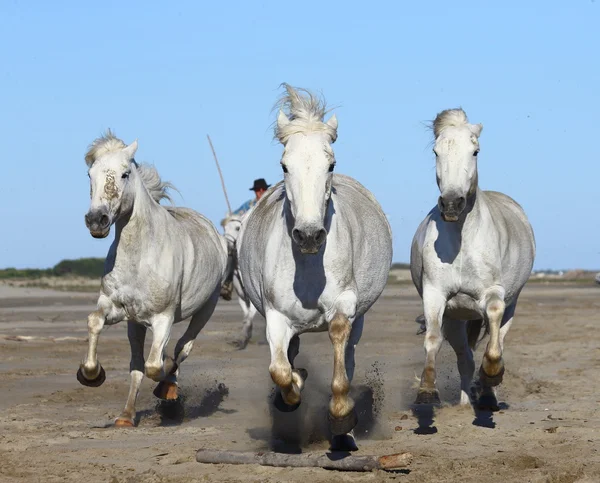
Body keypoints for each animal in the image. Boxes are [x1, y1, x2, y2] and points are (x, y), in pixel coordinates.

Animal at [77, 131, 227, 428]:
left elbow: (156, 365)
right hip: (135, 324)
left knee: (182, 347)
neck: (140, 256)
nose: (96, 220)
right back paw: (126, 416)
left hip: (206, 308)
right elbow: (95, 323)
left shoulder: (163, 318)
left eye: (124, 174)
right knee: (138, 363)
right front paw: (91, 374)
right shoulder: (116, 308)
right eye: (90, 174)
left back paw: (169, 389)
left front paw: (167, 390)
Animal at [220, 214, 258, 350]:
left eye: (237, 228)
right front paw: (244, 337)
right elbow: (246, 316)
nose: (227, 245)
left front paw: (242, 339)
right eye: (225, 228)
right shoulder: (242, 297)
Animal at [239, 85, 394, 452]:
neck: (307, 267)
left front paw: (341, 418)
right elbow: (280, 371)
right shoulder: (275, 316)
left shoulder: (345, 305)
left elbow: (339, 352)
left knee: (348, 357)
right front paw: (292, 389)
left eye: (331, 163)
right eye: (284, 165)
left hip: (359, 319)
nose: (309, 235)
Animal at [412, 109, 536, 412]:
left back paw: (488, 395)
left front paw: (491, 374)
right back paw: (466, 401)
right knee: (465, 358)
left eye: (475, 151)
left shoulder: (493, 293)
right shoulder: (435, 295)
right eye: (436, 151)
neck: (462, 241)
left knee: (496, 339)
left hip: (509, 306)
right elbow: (433, 339)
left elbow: (494, 331)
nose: (451, 203)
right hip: (457, 319)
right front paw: (427, 391)